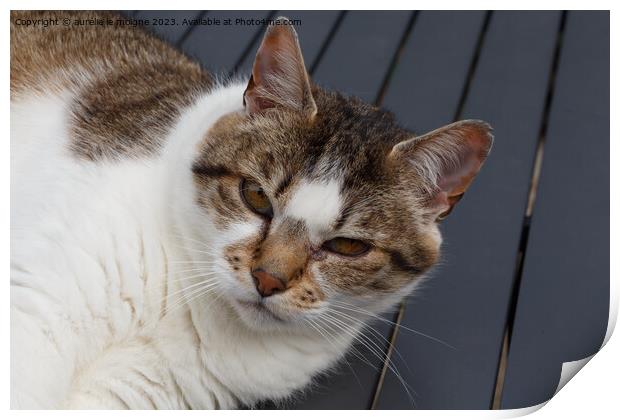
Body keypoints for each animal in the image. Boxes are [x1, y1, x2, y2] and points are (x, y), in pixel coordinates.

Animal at [9, 10, 494, 410]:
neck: (192, 302)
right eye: (256, 196)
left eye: (347, 246)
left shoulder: (133, 388)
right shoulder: (41, 307)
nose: (267, 279)